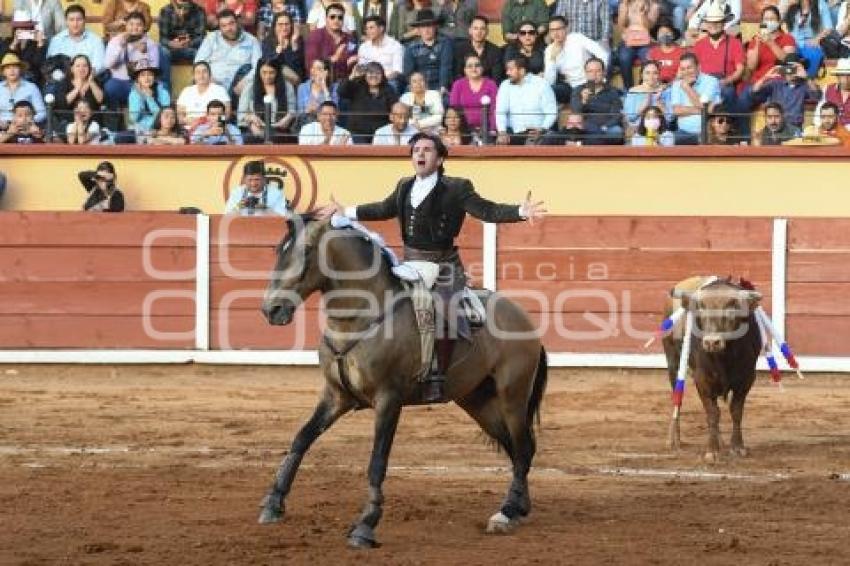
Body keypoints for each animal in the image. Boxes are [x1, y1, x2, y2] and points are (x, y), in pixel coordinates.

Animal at [255, 214, 548, 552]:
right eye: (278, 251)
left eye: (305, 252)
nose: (271, 310)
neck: (359, 318)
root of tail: (523, 317)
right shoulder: (335, 396)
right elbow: (301, 439)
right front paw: (273, 503)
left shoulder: (388, 400)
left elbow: (377, 461)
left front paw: (365, 526)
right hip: (478, 401)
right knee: (517, 448)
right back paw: (518, 507)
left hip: (513, 396)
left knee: (523, 447)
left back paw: (506, 512)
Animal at [664, 278, 760, 464]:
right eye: (701, 307)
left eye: (732, 305)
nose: (711, 342)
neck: (724, 357)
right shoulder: (702, 379)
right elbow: (712, 413)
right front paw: (712, 451)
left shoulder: (746, 379)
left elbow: (736, 411)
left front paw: (737, 447)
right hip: (673, 363)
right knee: (677, 399)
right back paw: (675, 440)